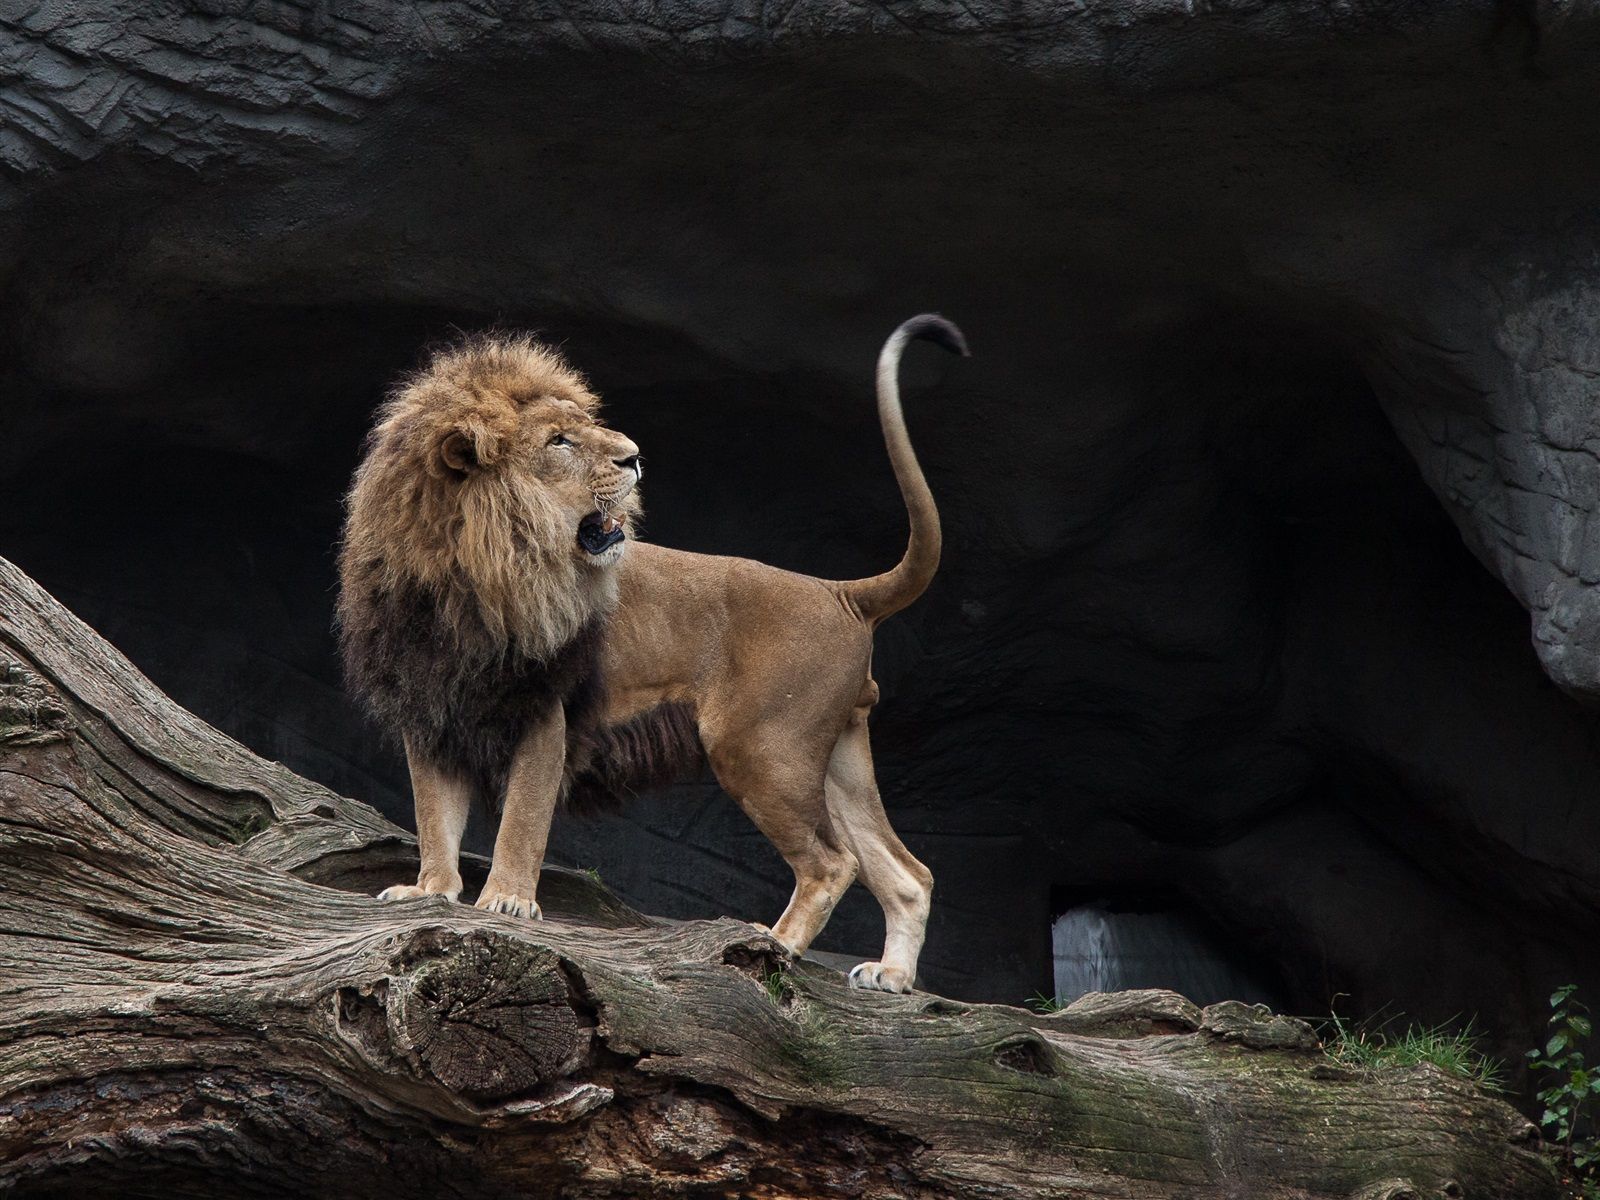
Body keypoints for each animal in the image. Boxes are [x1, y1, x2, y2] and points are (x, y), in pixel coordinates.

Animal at [337, 315, 966, 993]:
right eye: (559, 441)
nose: (634, 456)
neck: (464, 580)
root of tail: (839, 591)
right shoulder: (430, 710)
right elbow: (434, 814)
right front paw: (431, 890)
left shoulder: (545, 712)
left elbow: (523, 817)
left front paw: (506, 901)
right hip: (833, 757)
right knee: (907, 873)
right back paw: (891, 976)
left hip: (761, 747)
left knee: (832, 863)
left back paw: (774, 947)